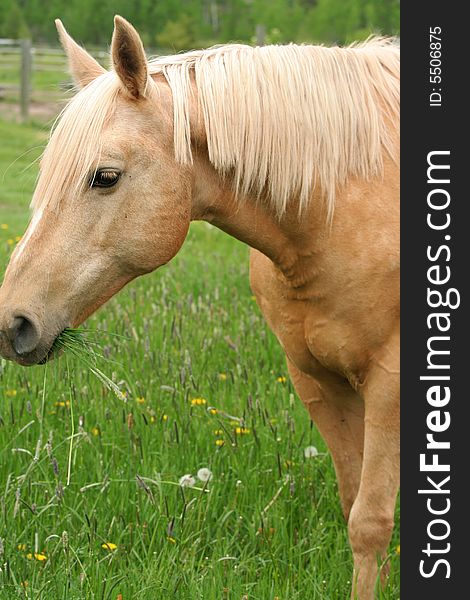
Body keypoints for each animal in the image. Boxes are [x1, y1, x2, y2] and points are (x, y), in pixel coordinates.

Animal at [0, 16, 400, 596]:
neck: (342, 204)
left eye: (105, 176)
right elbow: (355, 506)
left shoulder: (389, 386)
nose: (13, 323)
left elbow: (371, 522)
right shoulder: (318, 382)